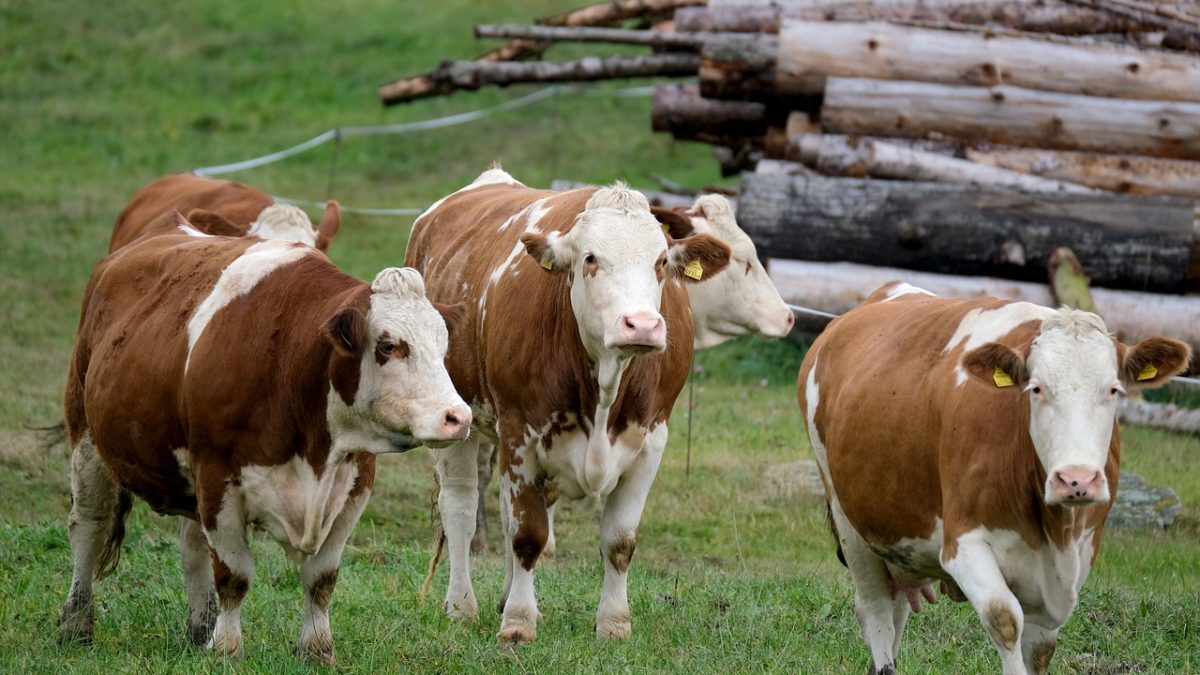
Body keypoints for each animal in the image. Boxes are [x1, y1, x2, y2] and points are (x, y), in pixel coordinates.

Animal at [58, 211, 468, 662]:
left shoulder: (355, 485)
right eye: (389, 345)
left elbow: (322, 577)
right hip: (87, 438)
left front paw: (316, 648)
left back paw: (200, 630)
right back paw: (76, 625)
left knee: (192, 547)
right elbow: (234, 574)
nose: (457, 416)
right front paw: (227, 649)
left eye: (443, 345)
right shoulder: (217, 478)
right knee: (89, 526)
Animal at [405, 168, 729, 638]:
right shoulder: (519, 432)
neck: (605, 386)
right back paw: (462, 607)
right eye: (590, 258)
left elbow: (619, 541)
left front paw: (613, 623)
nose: (642, 325)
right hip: (457, 421)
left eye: (661, 263)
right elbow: (527, 536)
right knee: (461, 508)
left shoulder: (652, 439)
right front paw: (518, 624)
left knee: (503, 511)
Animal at [796, 282, 1190, 672]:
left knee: (897, 610)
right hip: (849, 523)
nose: (1076, 480)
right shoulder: (963, 544)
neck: (1053, 531)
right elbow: (1005, 619)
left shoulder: (1081, 553)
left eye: (1113, 389)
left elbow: (1041, 646)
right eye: (1036, 388)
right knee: (876, 610)